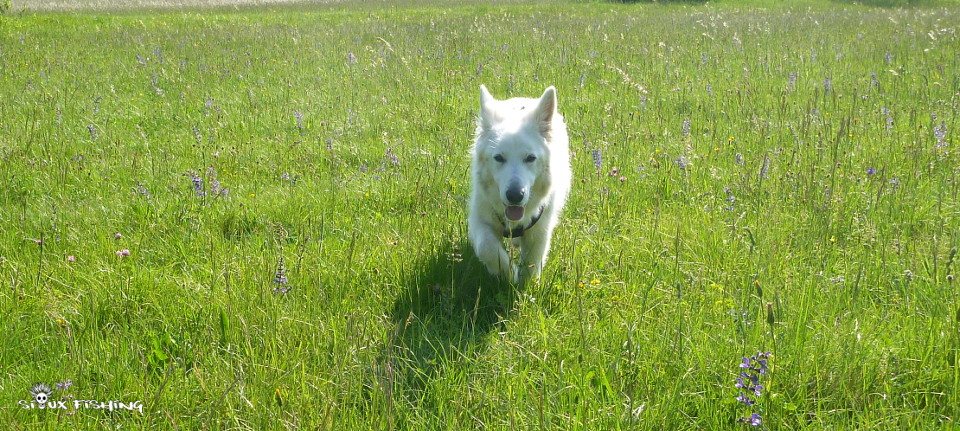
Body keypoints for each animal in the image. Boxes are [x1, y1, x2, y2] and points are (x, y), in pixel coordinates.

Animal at [466, 86, 568, 286]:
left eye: (530, 158)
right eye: (499, 158)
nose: (515, 195)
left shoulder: (540, 230)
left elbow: (532, 263)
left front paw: (524, 288)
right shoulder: (479, 220)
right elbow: (487, 247)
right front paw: (507, 273)